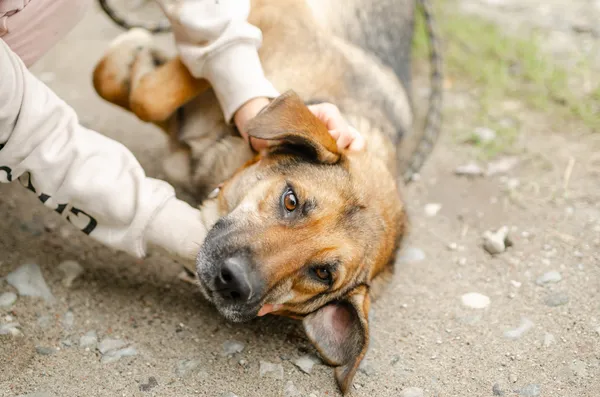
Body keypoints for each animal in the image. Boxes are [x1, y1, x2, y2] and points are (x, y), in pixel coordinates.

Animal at [92, 0, 440, 392]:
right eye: (291, 201)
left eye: (321, 273)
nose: (233, 282)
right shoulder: (261, 20)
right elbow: (147, 92)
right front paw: (137, 49)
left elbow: (142, 93)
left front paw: (138, 56)